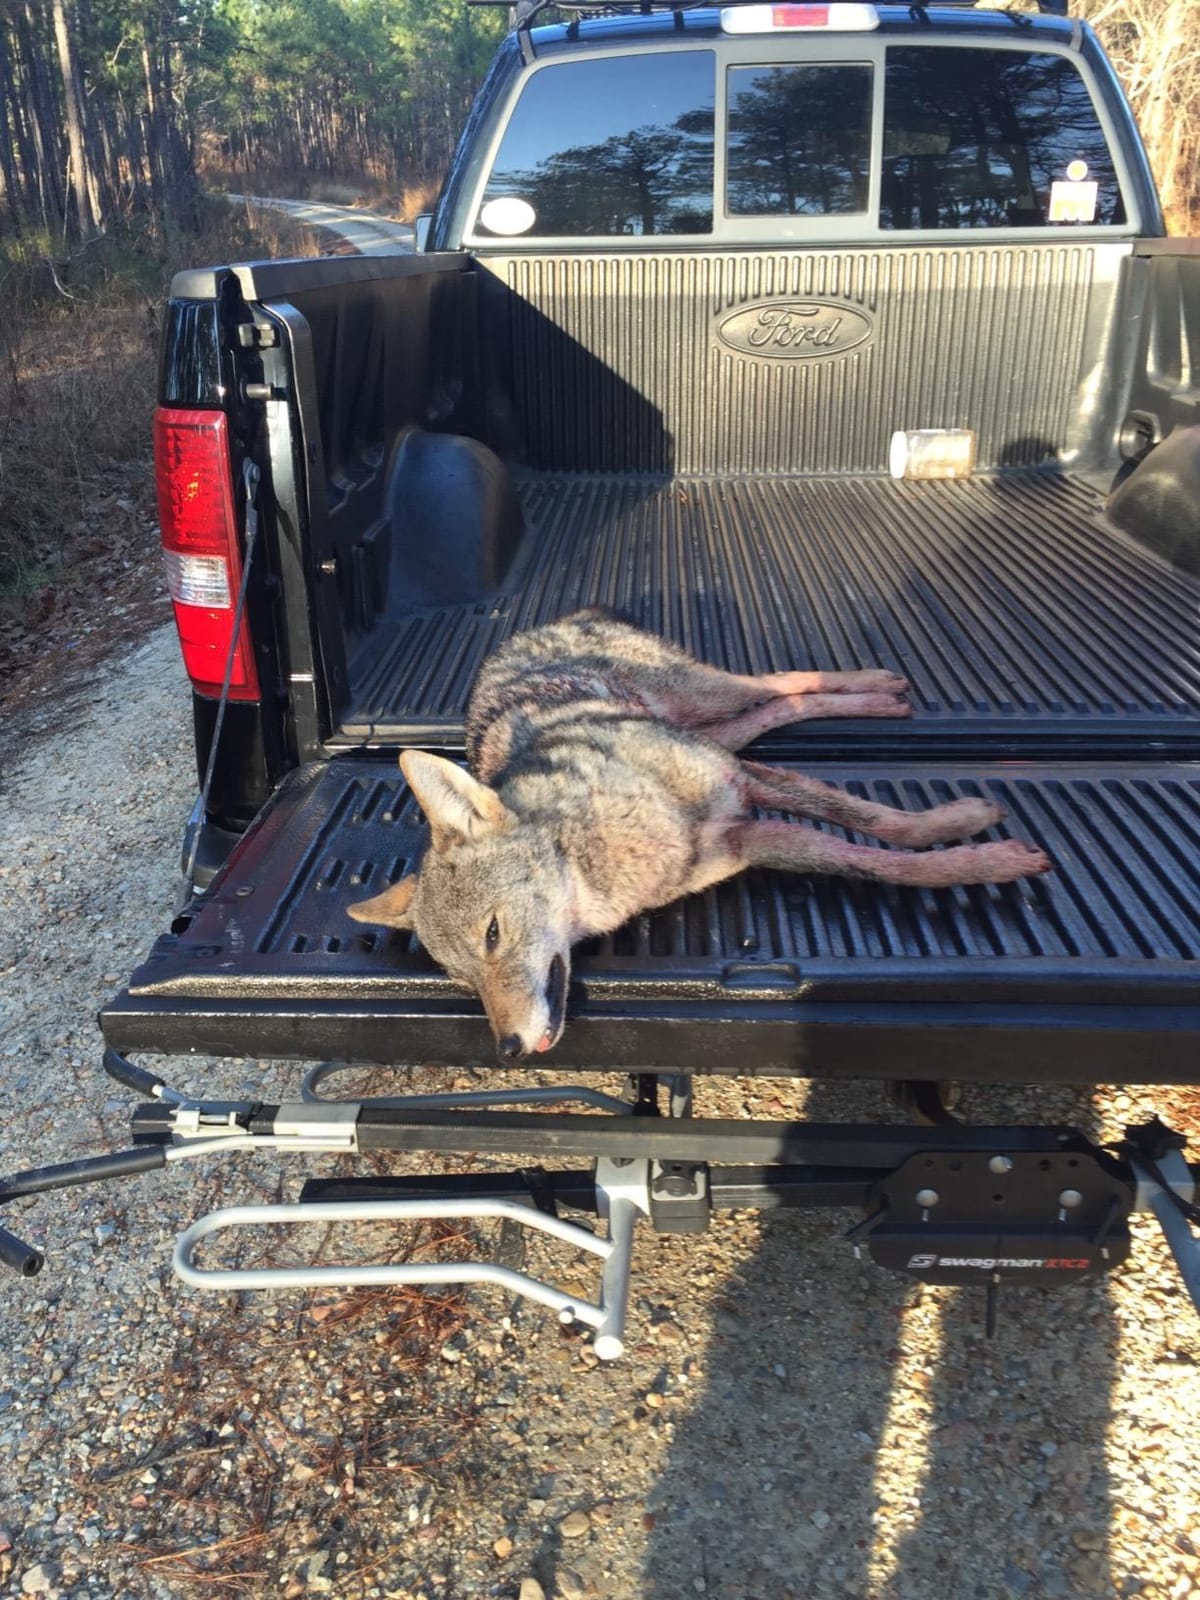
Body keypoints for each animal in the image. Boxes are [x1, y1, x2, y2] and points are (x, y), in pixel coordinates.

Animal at [348, 609, 1050, 1061]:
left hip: (708, 704)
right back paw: (879, 699)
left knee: (777, 684)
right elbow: (861, 859)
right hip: (712, 725)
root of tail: (534, 625)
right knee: (776, 706)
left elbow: (876, 829)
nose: (508, 1049)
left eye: (493, 935)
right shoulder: (746, 838)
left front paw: (967, 837)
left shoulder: (743, 785)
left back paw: (877, 688)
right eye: (464, 980)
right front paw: (972, 850)